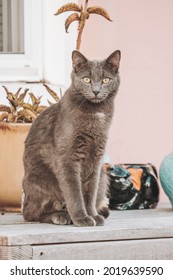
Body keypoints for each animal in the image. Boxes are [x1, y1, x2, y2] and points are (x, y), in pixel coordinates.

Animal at [22, 49, 121, 226]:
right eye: (87, 79)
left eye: (105, 80)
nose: (96, 91)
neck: (95, 113)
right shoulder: (67, 157)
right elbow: (74, 191)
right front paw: (82, 218)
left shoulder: (96, 158)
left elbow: (89, 191)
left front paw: (92, 215)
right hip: (39, 179)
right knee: (31, 214)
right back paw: (61, 216)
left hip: (103, 177)